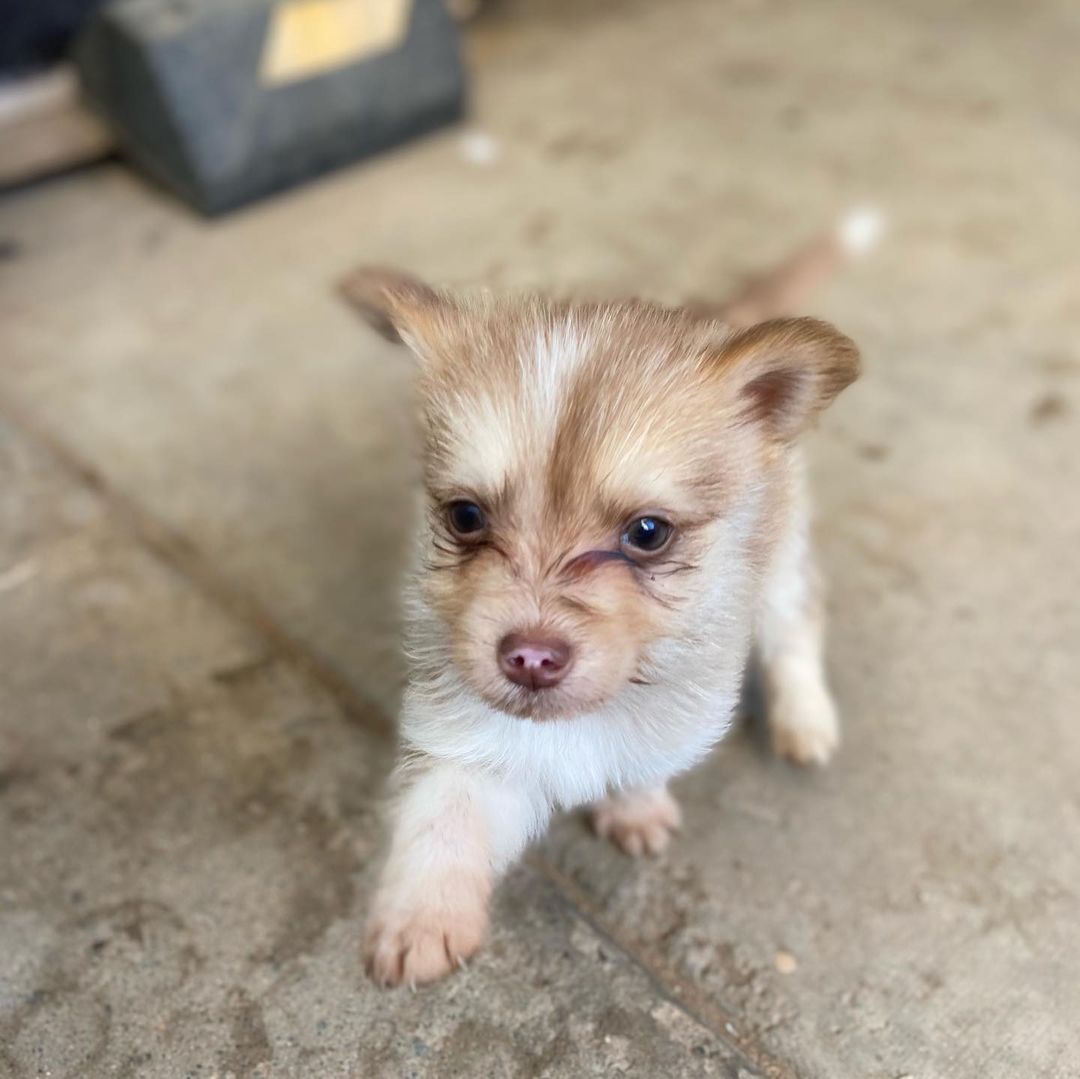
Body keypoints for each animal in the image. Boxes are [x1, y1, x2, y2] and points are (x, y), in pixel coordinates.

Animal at [343, 210, 876, 989]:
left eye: (647, 532)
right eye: (466, 516)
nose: (530, 657)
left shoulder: (669, 724)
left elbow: (640, 765)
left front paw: (633, 810)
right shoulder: (471, 742)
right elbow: (442, 817)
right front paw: (420, 917)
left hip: (780, 560)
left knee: (795, 626)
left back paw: (804, 720)